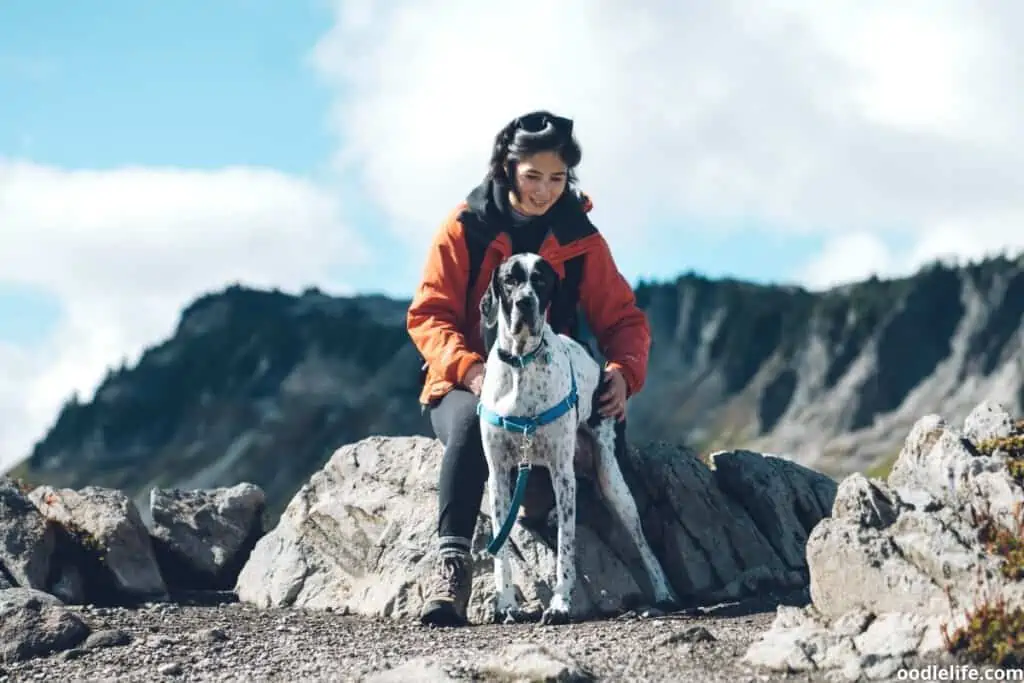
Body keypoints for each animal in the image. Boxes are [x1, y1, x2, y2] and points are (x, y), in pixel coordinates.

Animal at [479, 254, 679, 626]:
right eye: (509, 280)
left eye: (540, 280)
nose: (524, 302)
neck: (521, 365)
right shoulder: (498, 475)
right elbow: (501, 550)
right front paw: (507, 604)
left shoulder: (562, 475)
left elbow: (567, 548)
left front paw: (560, 605)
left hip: (614, 483)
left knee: (643, 543)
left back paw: (664, 592)